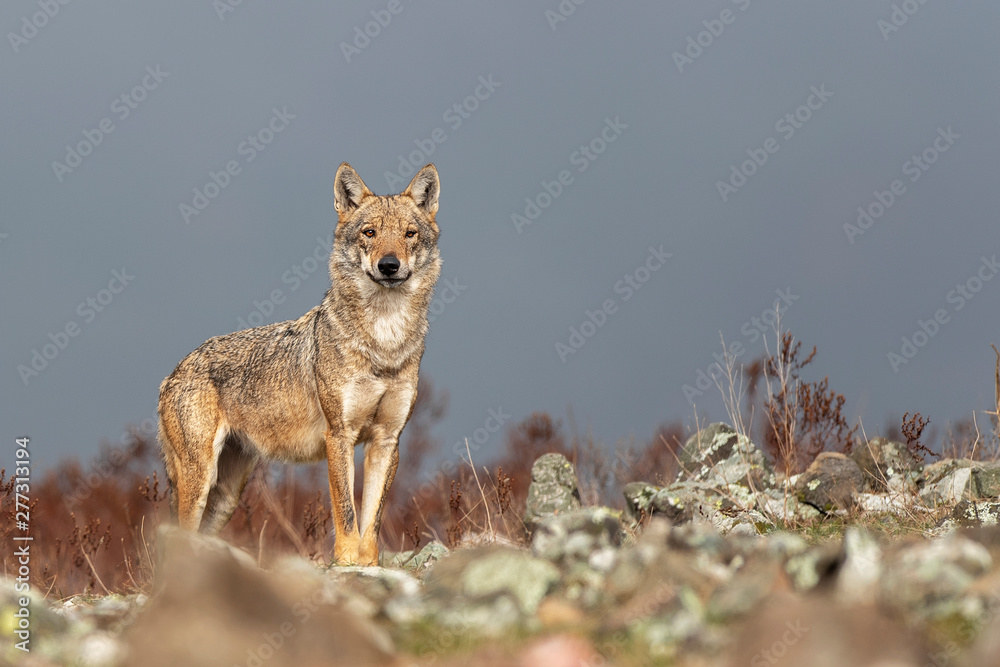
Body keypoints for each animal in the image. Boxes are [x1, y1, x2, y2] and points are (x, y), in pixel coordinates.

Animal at [158, 162, 440, 564]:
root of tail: (174, 371)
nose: (389, 265)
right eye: (370, 233)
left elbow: (372, 519)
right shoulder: (339, 436)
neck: (384, 342)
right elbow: (346, 513)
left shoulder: (387, 440)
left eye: (409, 234)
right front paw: (347, 562)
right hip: (199, 481)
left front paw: (369, 564)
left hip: (226, 496)